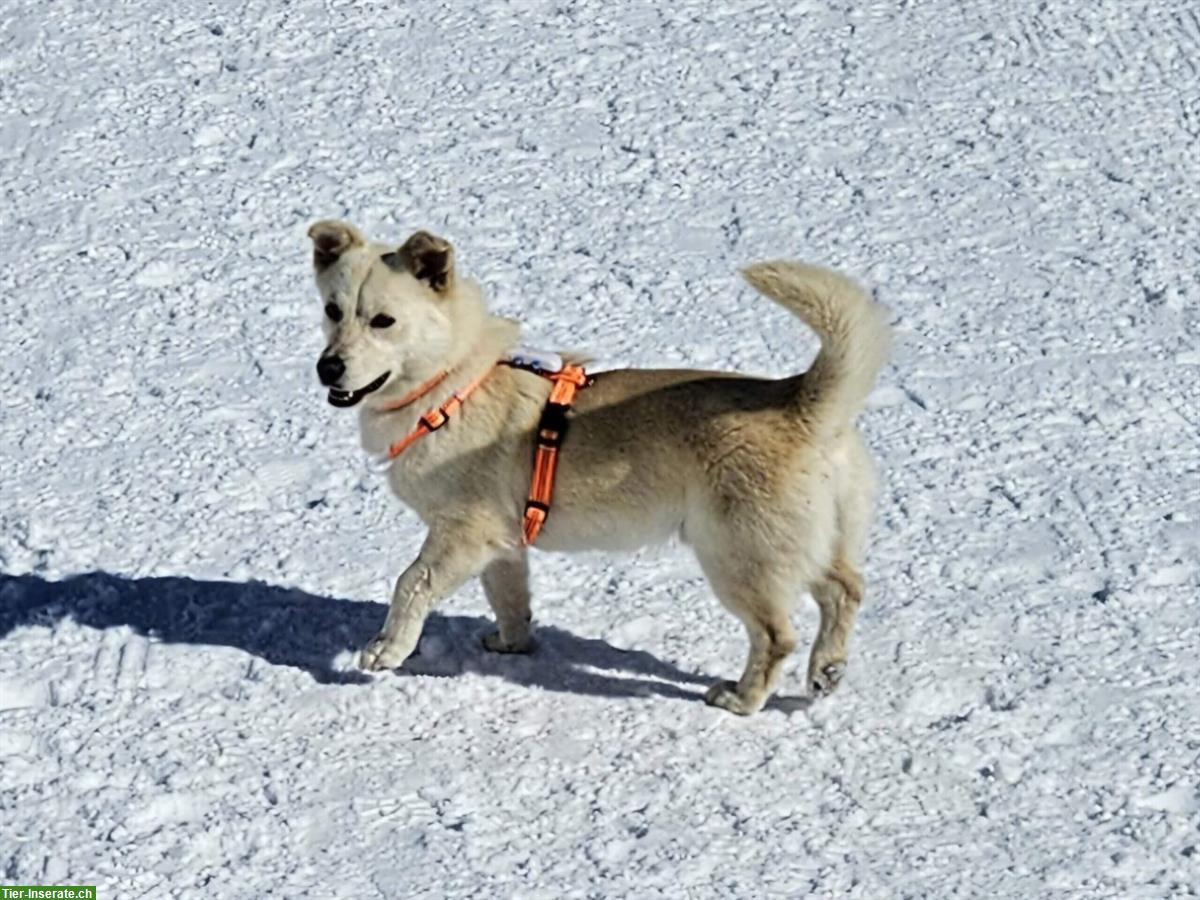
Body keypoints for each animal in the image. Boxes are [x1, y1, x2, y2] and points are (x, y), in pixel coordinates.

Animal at [309, 225, 892, 720]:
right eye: (332, 310)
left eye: (383, 320)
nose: (327, 368)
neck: (454, 382)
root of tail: (802, 402)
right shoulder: (503, 543)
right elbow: (510, 600)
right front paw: (512, 646)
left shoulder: (463, 532)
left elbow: (411, 583)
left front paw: (386, 649)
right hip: (809, 541)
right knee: (846, 588)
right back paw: (827, 671)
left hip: (738, 557)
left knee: (776, 637)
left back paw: (740, 699)